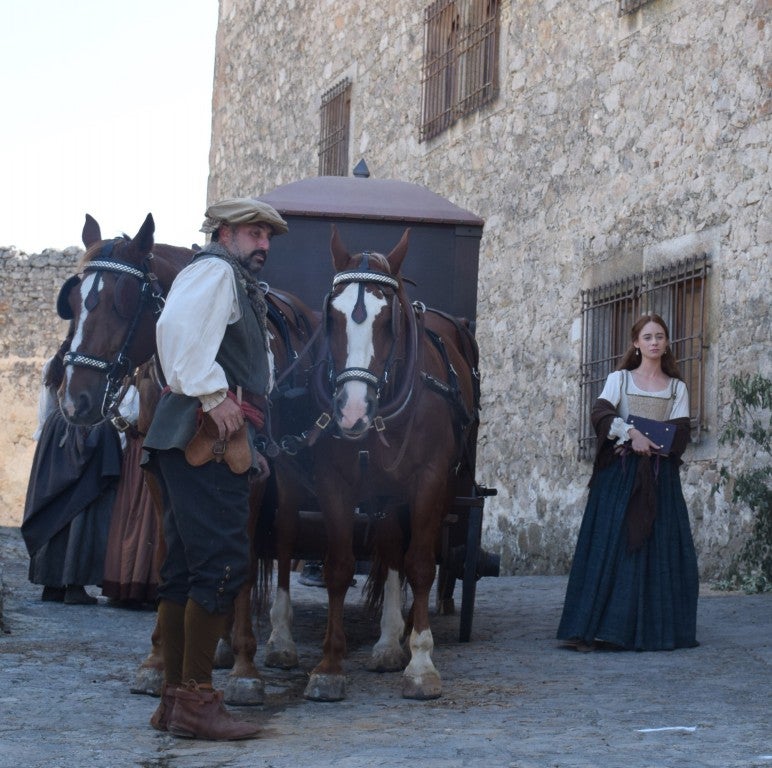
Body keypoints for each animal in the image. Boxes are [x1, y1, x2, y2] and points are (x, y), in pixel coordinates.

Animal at [304, 225, 480, 700]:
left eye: (388, 320)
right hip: (384, 494)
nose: (352, 411)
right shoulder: (334, 483)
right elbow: (341, 566)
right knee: (389, 550)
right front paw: (329, 665)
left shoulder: (430, 481)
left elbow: (420, 563)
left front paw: (421, 663)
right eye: (332, 316)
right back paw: (387, 640)